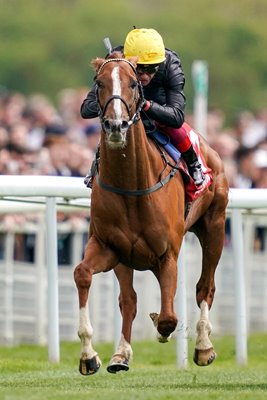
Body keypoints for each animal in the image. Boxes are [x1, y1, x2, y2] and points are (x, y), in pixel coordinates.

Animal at [74, 53, 229, 376]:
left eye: (133, 83)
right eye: (99, 83)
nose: (116, 125)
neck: (132, 184)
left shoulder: (167, 253)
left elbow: (170, 316)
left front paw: (162, 327)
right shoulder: (109, 247)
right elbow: (83, 274)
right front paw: (89, 356)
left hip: (215, 227)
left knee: (205, 287)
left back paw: (203, 347)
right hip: (126, 257)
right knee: (128, 300)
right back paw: (120, 354)